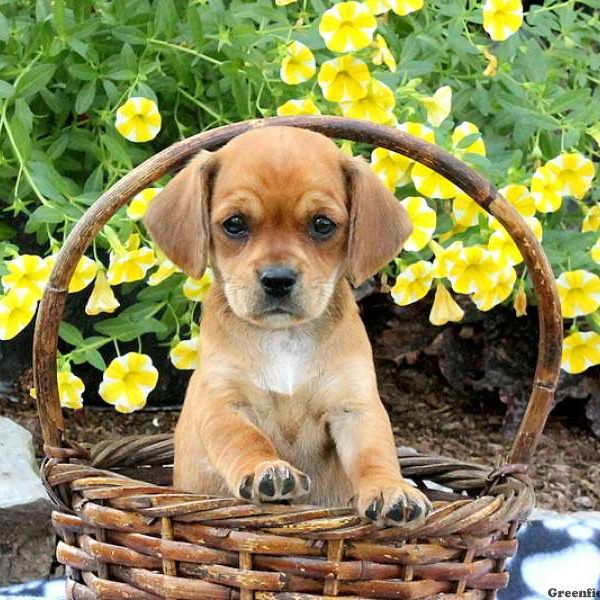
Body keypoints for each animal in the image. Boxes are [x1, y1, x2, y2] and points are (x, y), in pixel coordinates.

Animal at [145, 126, 432, 524]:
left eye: (323, 224)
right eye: (234, 224)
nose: (277, 279)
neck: (284, 338)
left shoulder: (355, 407)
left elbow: (374, 454)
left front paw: (390, 489)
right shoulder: (222, 402)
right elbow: (245, 440)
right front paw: (266, 470)